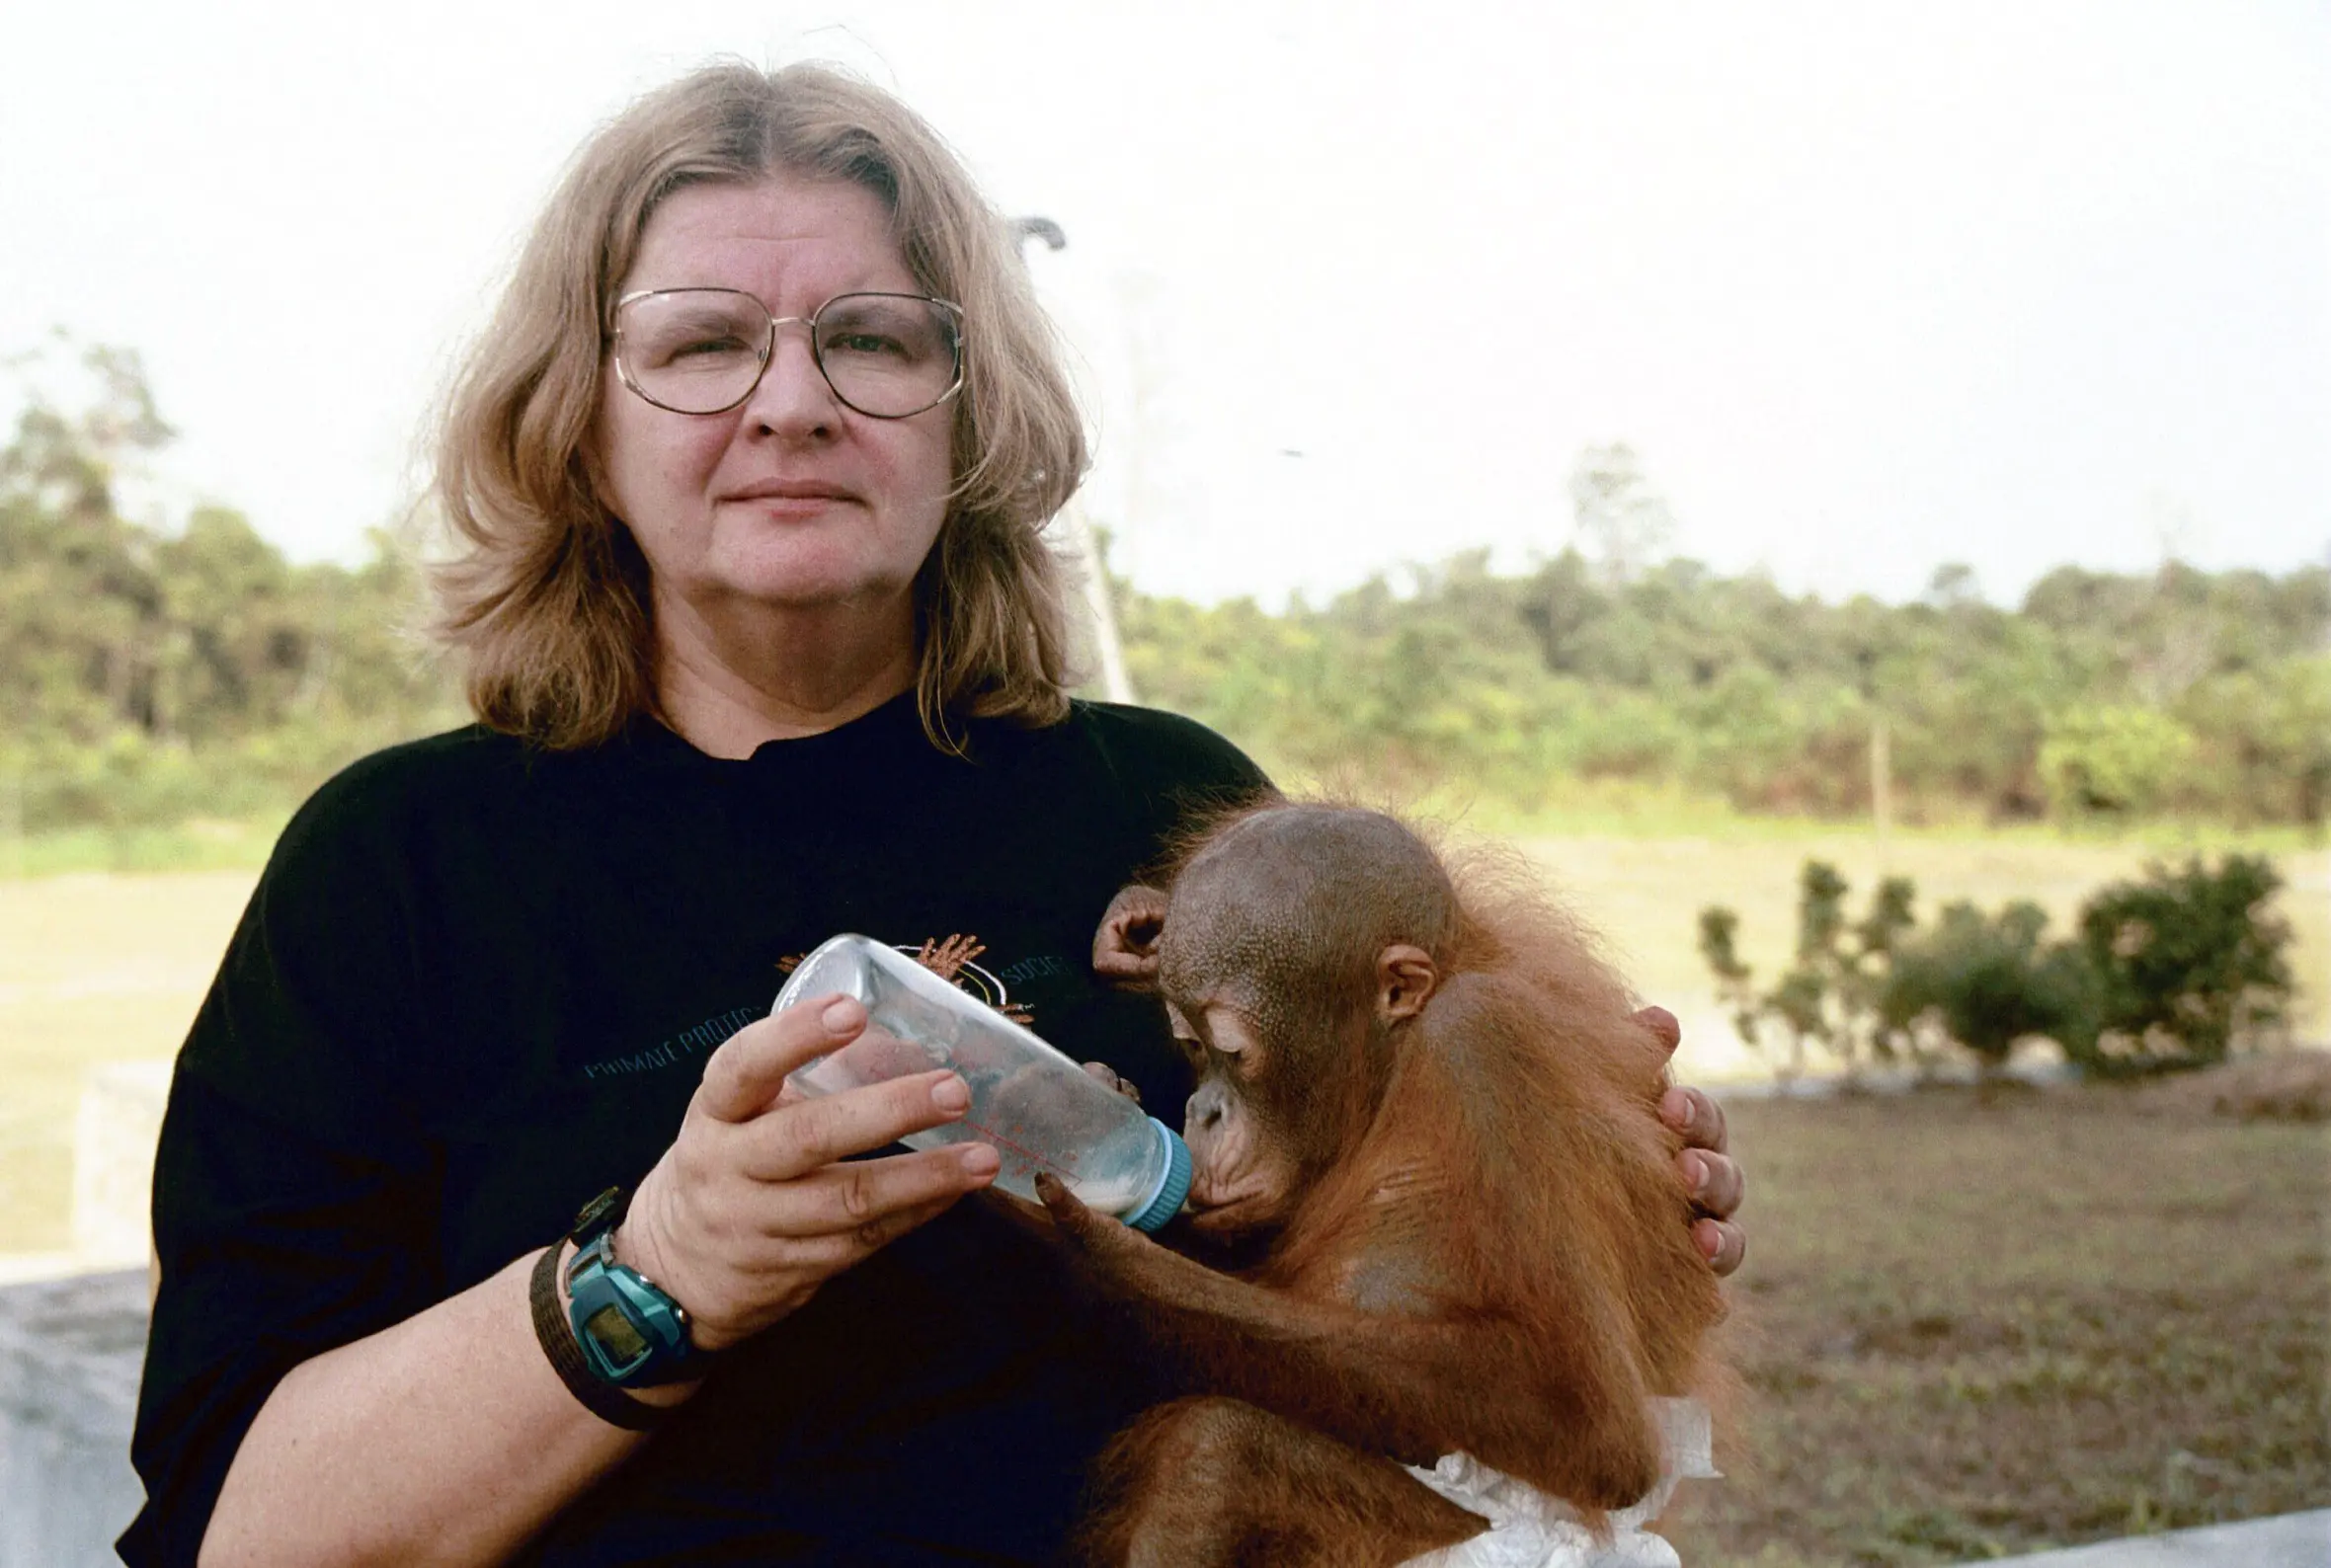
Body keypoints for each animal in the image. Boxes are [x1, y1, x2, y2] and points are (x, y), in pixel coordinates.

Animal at [1039, 802, 1726, 1568]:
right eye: (1190, 1048)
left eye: (1234, 1054)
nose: (1201, 1111)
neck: (1396, 1077)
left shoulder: (1487, 1044)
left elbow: (1595, 1425)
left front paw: (1105, 1257)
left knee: (1217, 1452)